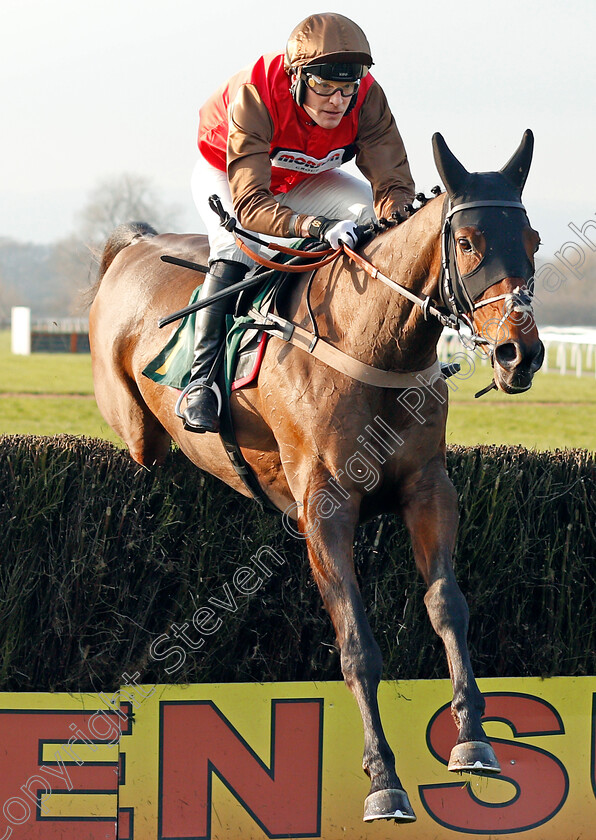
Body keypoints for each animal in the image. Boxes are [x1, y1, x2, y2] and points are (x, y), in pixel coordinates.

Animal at [87, 131, 544, 820]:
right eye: (468, 243)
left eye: (534, 240)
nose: (522, 353)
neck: (371, 344)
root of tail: (134, 243)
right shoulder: (325, 507)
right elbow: (357, 644)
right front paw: (383, 780)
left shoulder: (429, 490)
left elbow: (448, 607)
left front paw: (473, 740)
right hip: (140, 435)